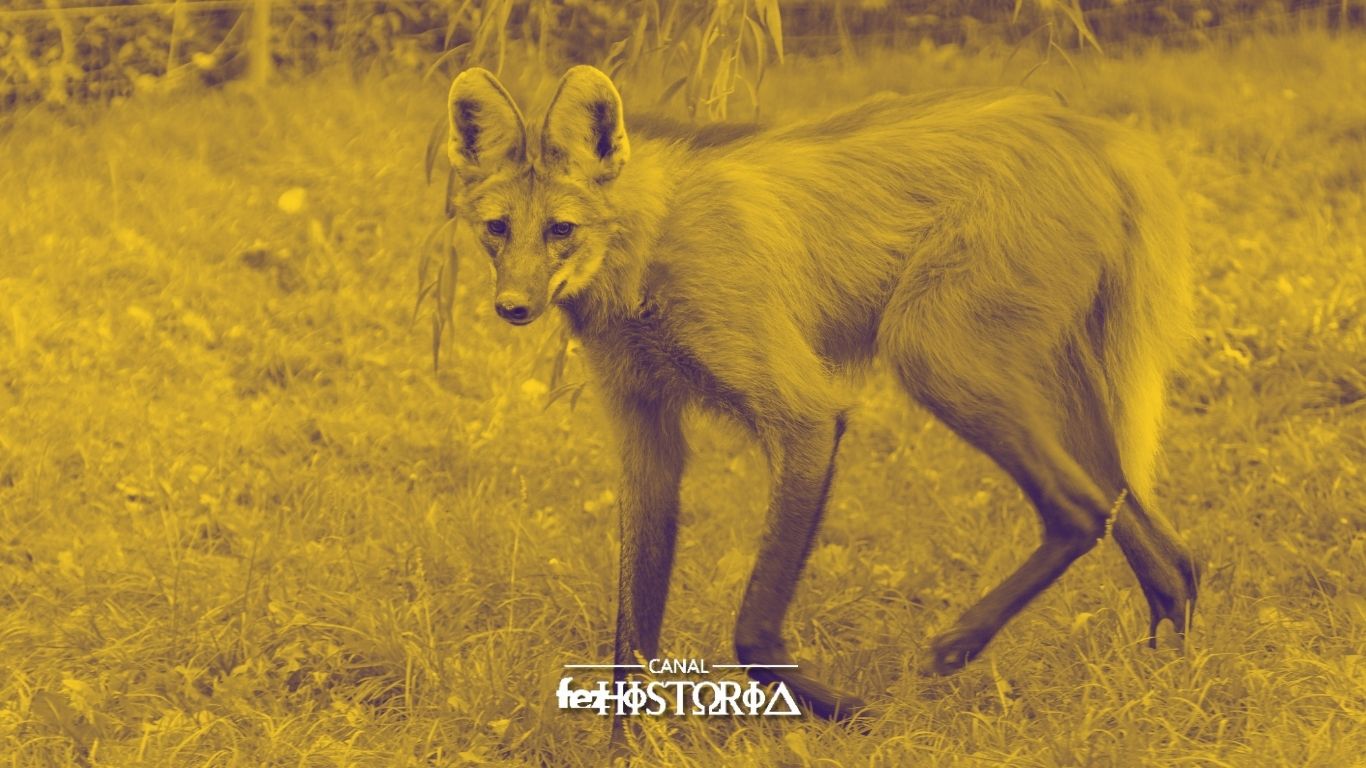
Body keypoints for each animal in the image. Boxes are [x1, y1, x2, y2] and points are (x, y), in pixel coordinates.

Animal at [443, 64, 1198, 723]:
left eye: (561, 230)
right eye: (497, 229)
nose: (513, 307)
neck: (647, 249)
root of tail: (1092, 131)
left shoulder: (804, 414)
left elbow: (752, 631)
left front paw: (857, 715)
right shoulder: (645, 434)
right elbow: (630, 642)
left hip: (935, 354)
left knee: (1081, 513)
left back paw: (953, 649)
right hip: (1049, 388)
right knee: (1166, 546)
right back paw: (1169, 674)